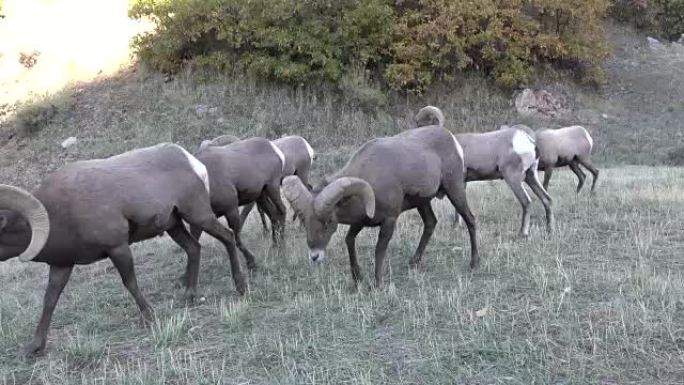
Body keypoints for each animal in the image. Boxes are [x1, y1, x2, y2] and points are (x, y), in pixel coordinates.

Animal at [0, 144, 246, 356]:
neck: (59, 214)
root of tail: (195, 164)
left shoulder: (117, 248)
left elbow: (130, 283)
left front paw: (149, 317)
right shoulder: (62, 266)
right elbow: (50, 300)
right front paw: (34, 347)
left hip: (198, 215)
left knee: (228, 237)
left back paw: (240, 286)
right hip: (174, 226)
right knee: (194, 249)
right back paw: (189, 296)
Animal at [191, 136, 288, 268]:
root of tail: (276, 150)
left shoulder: (231, 210)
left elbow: (237, 239)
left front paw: (251, 263)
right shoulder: (198, 223)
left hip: (272, 186)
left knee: (282, 210)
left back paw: (282, 244)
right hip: (261, 195)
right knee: (273, 215)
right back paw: (274, 244)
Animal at [280, 123, 478, 284]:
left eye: (329, 221)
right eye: (305, 222)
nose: (314, 256)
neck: (371, 176)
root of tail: (452, 141)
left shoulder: (389, 220)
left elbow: (379, 249)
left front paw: (378, 283)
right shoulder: (360, 222)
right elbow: (349, 241)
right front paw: (357, 278)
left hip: (455, 190)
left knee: (470, 220)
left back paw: (473, 263)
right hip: (423, 202)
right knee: (431, 223)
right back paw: (414, 262)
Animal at [414, 106, 552, 237]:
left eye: (420, 124)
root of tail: (528, 141)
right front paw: (456, 225)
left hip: (514, 178)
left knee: (526, 202)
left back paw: (523, 233)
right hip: (531, 176)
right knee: (547, 199)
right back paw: (549, 230)